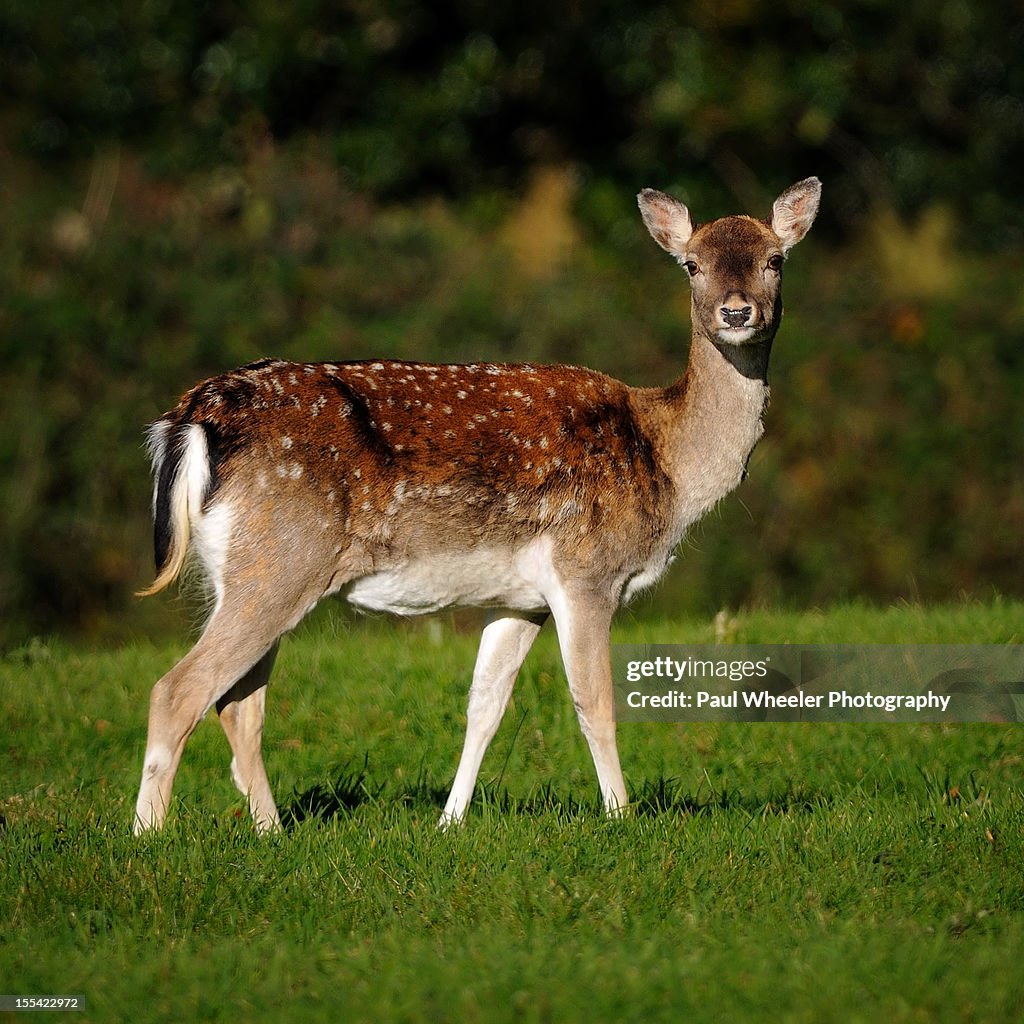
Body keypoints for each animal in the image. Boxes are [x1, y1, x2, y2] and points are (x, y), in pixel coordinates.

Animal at [132, 176, 821, 833]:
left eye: (775, 260)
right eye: (691, 264)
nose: (738, 310)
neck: (665, 462)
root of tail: (192, 417)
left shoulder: (521, 597)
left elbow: (484, 707)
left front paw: (449, 821)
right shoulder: (586, 571)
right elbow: (594, 703)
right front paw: (622, 818)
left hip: (249, 567)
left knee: (237, 704)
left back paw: (271, 830)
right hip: (282, 558)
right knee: (178, 690)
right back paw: (148, 836)